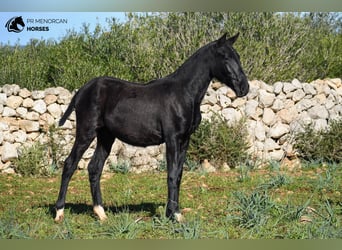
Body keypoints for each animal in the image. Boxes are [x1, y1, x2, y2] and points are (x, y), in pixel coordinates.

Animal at [54, 32, 250, 223]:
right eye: (224, 57)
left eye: (238, 56)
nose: (244, 87)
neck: (184, 93)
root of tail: (82, 90)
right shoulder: (172, 139)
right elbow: (172, 174)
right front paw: (173, 214)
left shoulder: (185, 140)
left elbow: (179, 175)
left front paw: (174, 212)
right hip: (86, 133)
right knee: (70, 164)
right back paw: (59, 212)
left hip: (106, 136)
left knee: (94, 168)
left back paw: (100, 212)